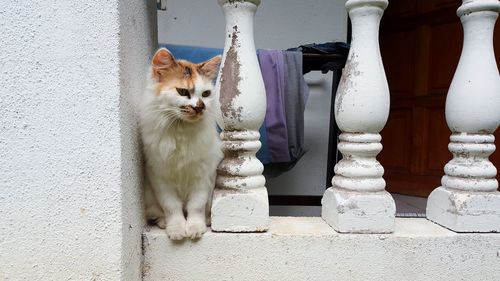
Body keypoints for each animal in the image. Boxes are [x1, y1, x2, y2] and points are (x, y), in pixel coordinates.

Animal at [138, 47, 222, 238]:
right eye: (183, 92)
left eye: (206, 94)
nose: (200, 107)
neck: (181, 131)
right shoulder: (161, 177)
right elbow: (172, 207)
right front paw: (176, 229)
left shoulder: (202, 176)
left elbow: (196, 206)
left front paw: (195, 228)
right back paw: (163, 223)